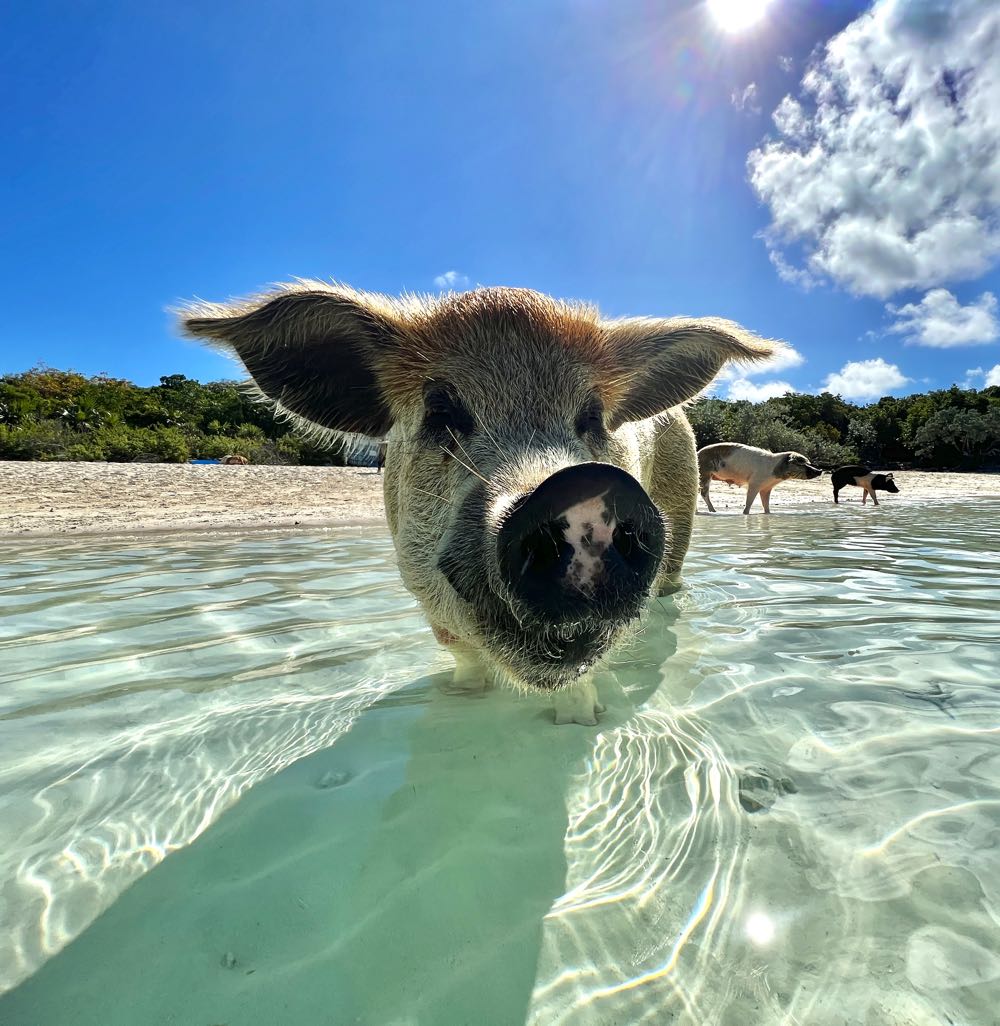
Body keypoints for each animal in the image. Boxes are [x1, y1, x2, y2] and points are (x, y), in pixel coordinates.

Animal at [181, 283, 783, 722]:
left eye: (591, 417)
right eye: (441, 412)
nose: (577, 488)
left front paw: (580, 721)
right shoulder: (421, 589)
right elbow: (463, 656)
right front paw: (458, 699)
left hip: (679, 519)